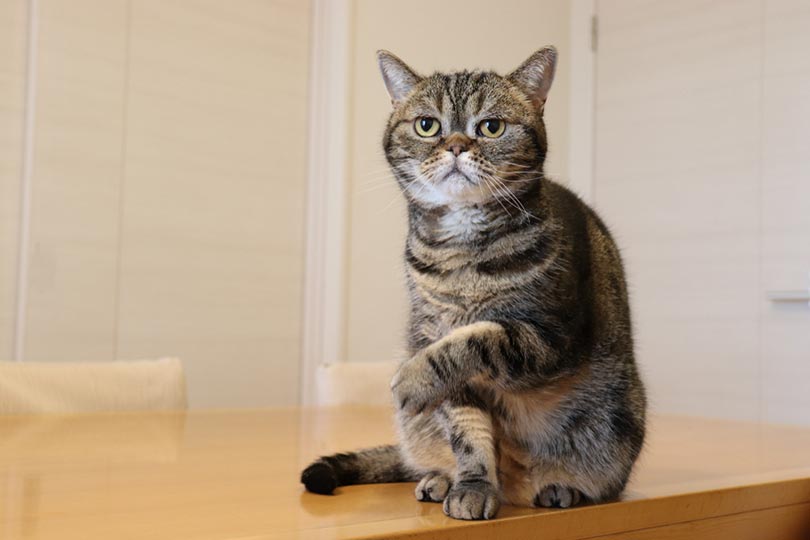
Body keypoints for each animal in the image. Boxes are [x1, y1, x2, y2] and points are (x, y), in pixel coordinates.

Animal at [300, 48, 648, 520]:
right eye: (427, 125)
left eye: (491, 127)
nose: (456, 145)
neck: (461, 256)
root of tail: (520, 486)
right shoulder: (436, 337)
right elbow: (466, 429)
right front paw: (473, 485)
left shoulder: (551, 335)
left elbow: (476, 339)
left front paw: (411, 379)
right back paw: (440, 479)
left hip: (615, 422)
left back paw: (562, 488)